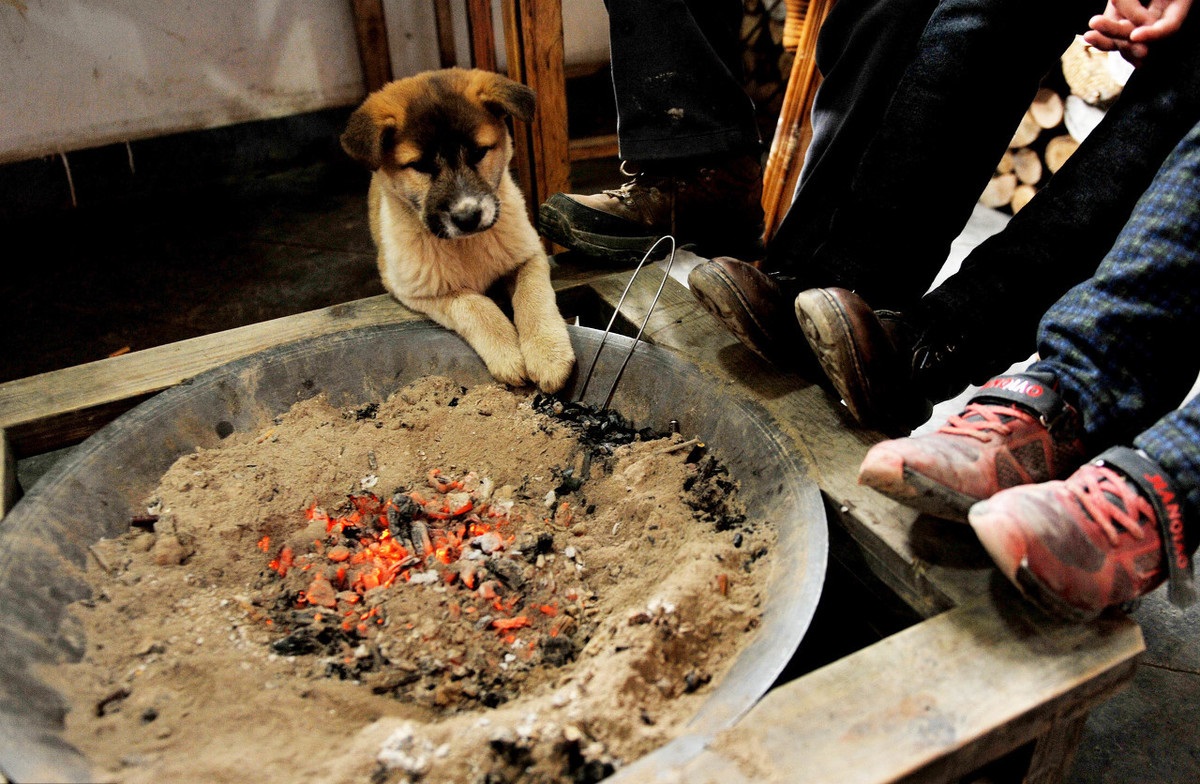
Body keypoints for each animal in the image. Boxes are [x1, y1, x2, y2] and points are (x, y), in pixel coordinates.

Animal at [343, 68, 576, 391]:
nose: (468, 217)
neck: (467, 244)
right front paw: (507, 353)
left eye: (479, 152)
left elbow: (533, 297)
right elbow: (474, 304)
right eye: (420, 166)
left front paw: (548, 353)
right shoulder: (418, 291)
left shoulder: (530, 256)